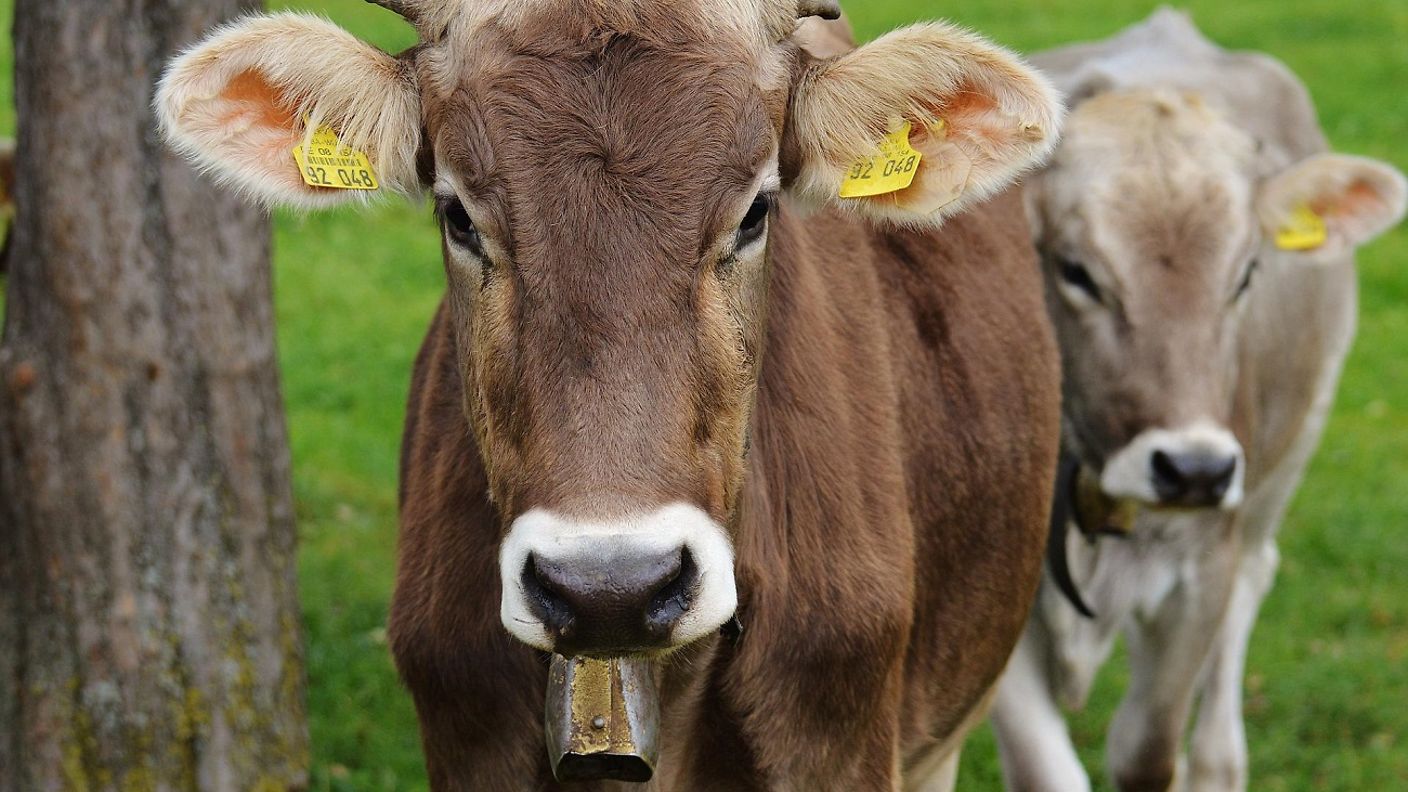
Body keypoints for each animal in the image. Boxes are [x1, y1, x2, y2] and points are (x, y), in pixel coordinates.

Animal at [991, 10, 1408, 789]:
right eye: (1076, 271)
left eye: (1247, 274)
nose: (1194, 470)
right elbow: (1044, 768)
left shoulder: (1199, 576)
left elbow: (1146, 752)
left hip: (1285, 462)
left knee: (1254, 579)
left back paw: (1217, 761)